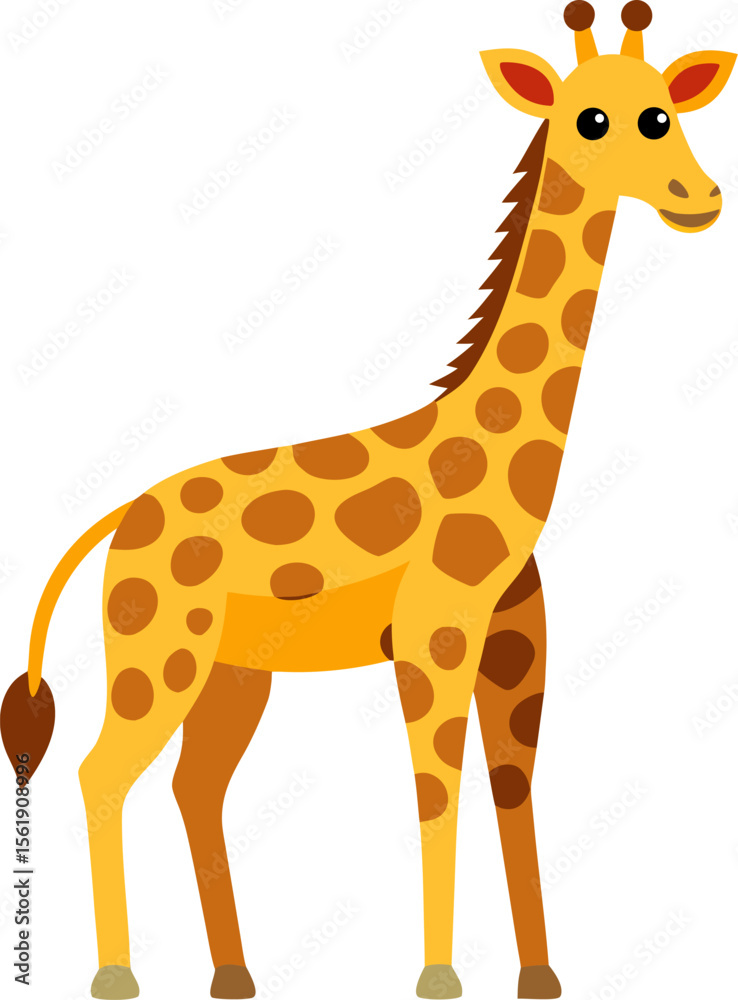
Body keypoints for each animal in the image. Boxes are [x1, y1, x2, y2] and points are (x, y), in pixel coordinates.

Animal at [1, 3, 734, 998]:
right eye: (596, 121)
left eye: (666, 110)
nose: (701, 199)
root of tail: (120, 519)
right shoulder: (433, 636)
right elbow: (434, 793)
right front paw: (439, 979)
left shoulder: (517, 644)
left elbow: (511, 790)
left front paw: (539, 979)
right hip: (158, 652)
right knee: (101, 771)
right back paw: (119, 976)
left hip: (235, 672)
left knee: (195, 786)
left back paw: (236, 977)